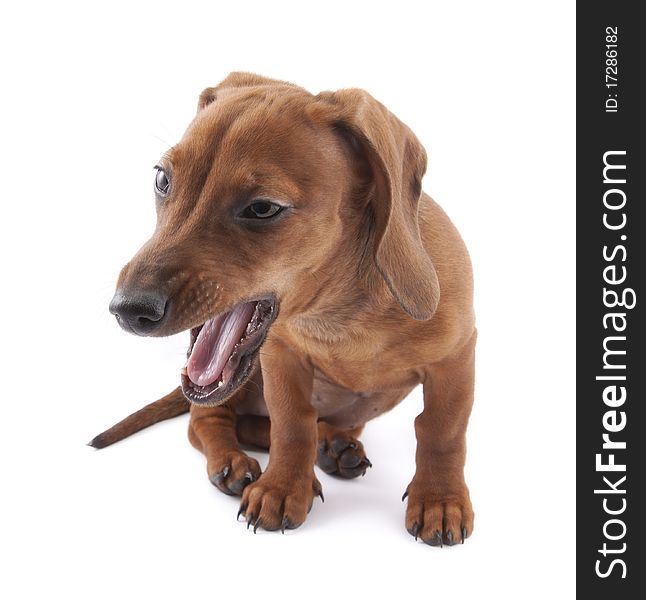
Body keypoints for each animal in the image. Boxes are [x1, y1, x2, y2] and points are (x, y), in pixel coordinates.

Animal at [91, 72, 476, 548]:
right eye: (163, 180)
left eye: (262, 208)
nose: (128, 309)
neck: (339, 313)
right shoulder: (281, 357)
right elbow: (292, 426)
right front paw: (281, 488)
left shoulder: (455, 359)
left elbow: (442, 430)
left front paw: (440, 499)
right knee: (206, 419)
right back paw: (235, 462)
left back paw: (333, 446)